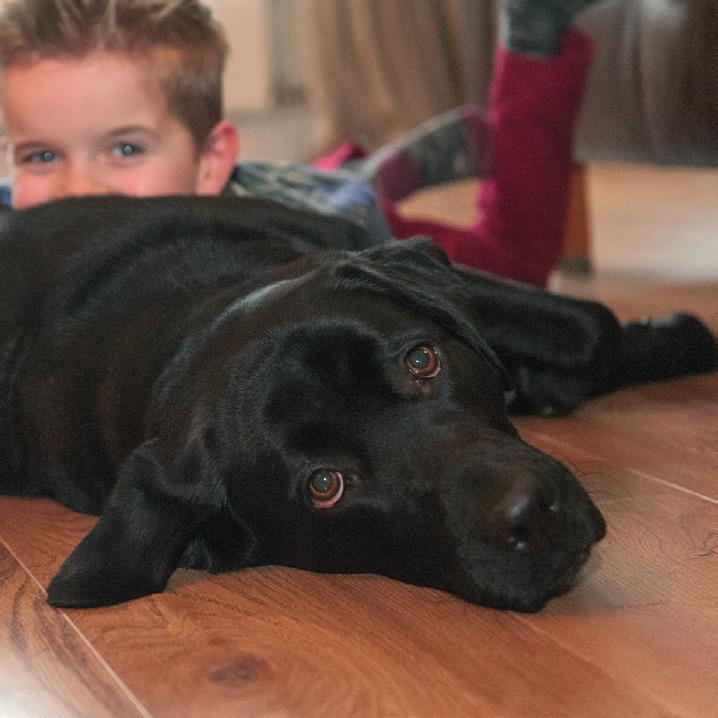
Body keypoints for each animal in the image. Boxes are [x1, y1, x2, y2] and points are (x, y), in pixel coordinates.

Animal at [0, 197, 716, 612]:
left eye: (422, 361)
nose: (531, 516)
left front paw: (674, 337)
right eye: (326, 485)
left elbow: (590, 326)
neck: (189, 319)